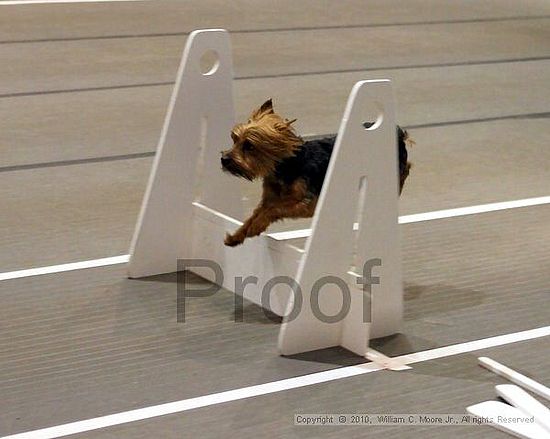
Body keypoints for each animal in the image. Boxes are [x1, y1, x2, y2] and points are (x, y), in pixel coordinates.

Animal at [222, 99, 412, 248]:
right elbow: (256, 214)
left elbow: (273, 209)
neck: (285, 166)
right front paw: (237, 236)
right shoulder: (269, 198)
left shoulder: (307, 203)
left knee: (406, 168)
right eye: (234, 139)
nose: (224, 159)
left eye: (249, 146)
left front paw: (257, 226)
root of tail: (397, 132)